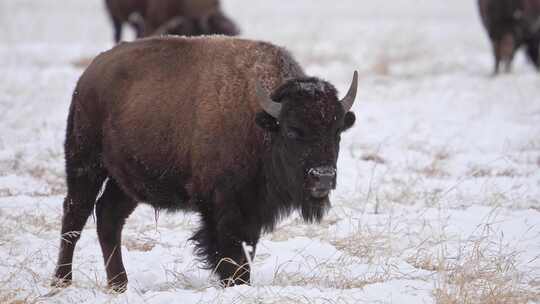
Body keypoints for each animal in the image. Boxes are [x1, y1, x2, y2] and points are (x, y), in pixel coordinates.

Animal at [52, 35, 358, 292]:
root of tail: (89, 74)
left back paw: (119, 285)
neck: (260, 123)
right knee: (75, 214)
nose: (323, 177)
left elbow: (246, 249)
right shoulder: (224, 208)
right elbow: (231, 253)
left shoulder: (252, 211)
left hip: (126, 182)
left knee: (108, 217)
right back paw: (62, 281)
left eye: (337, 132)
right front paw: (235, 285)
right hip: (85, 164)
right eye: (293, 131)